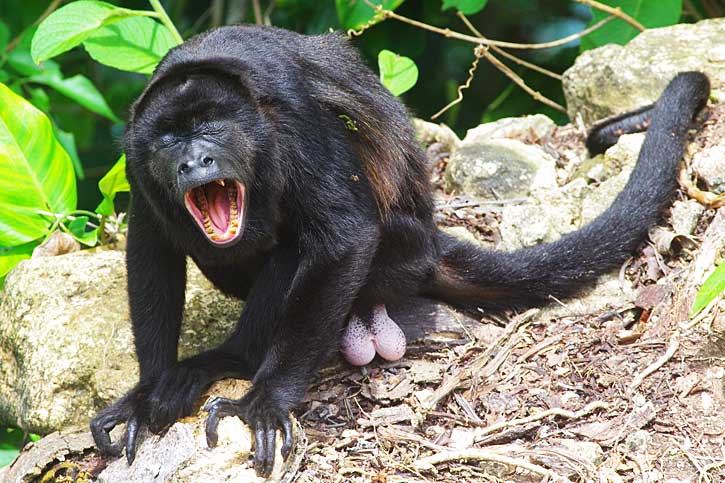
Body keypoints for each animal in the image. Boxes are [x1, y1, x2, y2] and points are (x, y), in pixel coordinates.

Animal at [89, 24, 708, 478]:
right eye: (171, 140)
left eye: (212, 129)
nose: (195, 162)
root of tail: (430, 240)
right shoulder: (135, 154)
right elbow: (150, 251)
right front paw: (146, 394)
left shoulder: (290, 117)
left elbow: (342, 235)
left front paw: (265, 401)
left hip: (400, 251)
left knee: (299, 247)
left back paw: (234, 359)